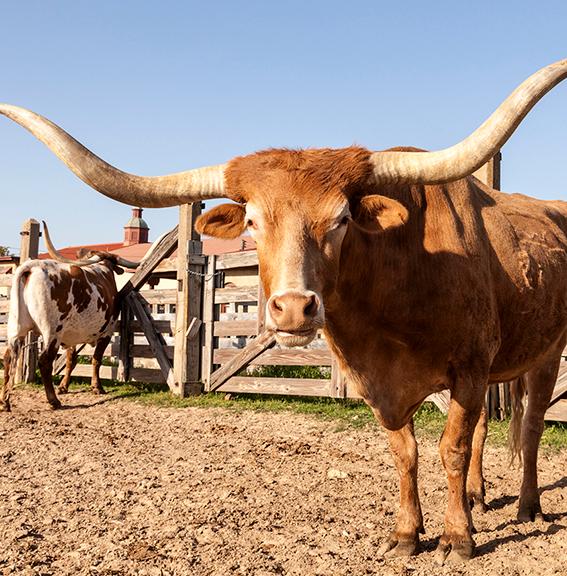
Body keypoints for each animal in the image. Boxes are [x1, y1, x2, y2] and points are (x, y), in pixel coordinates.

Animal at [0, 223, 139, 412]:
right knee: (44, 361)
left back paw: (5, 402)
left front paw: (64, 386)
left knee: (9, 358)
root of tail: (32, 266)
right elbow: (96, 360)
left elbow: (70, 360)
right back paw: (53, 400)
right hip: (52, 332)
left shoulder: (71, 335)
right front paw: (97, 387)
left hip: (17, 328)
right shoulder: (107, 332)